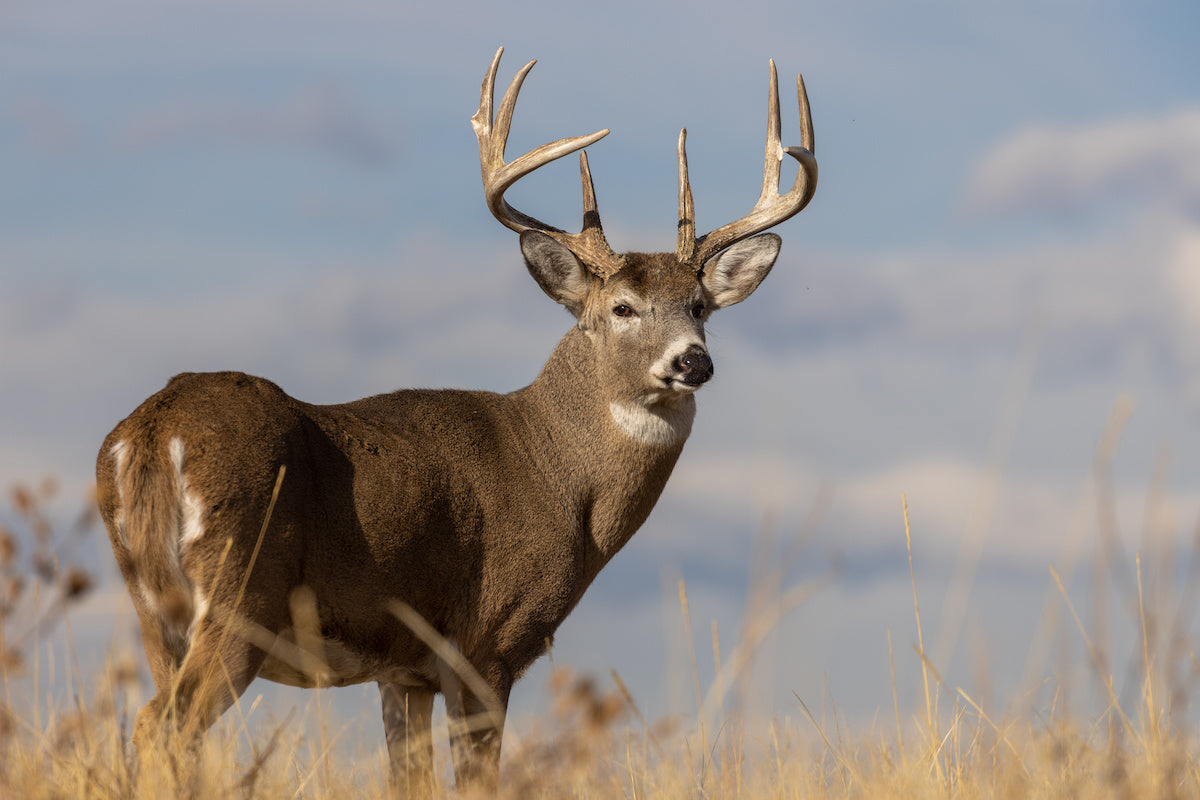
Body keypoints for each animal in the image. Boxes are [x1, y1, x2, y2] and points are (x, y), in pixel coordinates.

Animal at [95, 46, 817, 791]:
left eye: (699, 306)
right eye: (622, 307)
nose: (693, 360)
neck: (557, 473)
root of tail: (151, 432)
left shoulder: (403, 670)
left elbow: (407, 778)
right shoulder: (487, 641)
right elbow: (476, 779)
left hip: (154, 609)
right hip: (241, 590)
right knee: (162, 724)